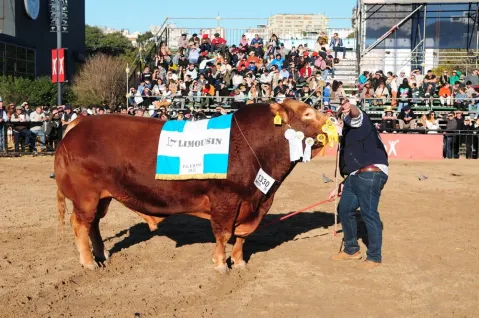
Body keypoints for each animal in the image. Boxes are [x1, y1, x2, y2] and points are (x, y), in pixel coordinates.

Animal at [53, 100, 330, 274]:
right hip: (86, 196)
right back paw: (89, 262)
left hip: (103, 196)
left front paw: (239, 262)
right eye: (307, 114)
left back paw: (101, 254)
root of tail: (80, 123)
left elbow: (242, 236)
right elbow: (223, 234)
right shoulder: (225, 199)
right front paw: (221, 265)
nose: (333, 123)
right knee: (80, 224)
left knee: (94, 225)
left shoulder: (255, 203)